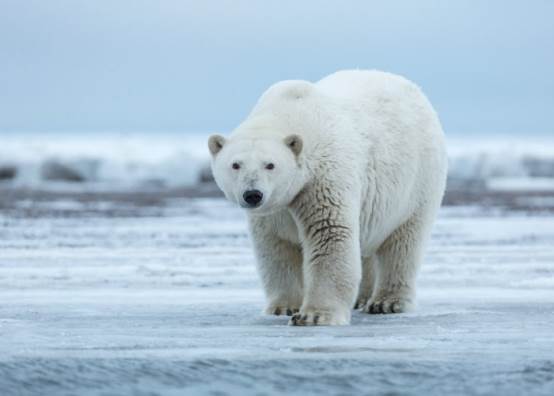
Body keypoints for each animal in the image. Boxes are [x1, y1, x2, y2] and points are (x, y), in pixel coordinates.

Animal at [206, 70, 444, 324]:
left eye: (270, 165)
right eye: (235, 165)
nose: (253, 195)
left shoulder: (322, 179)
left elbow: (329, 233)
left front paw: (313, 316)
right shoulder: (274, 211)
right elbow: (276, 247)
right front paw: (283, 307)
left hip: (417, 183)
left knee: (404, 243)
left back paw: (387, 302)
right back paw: (362, 298)